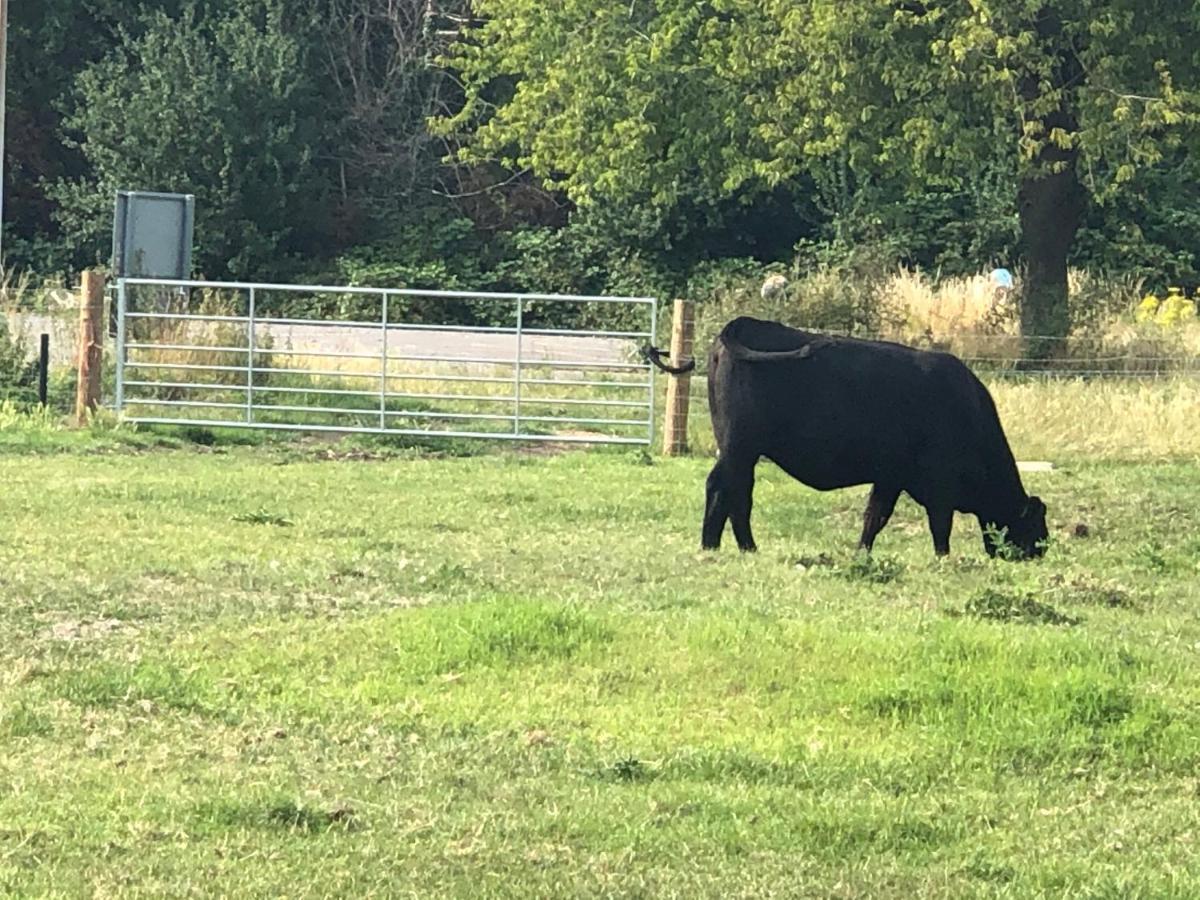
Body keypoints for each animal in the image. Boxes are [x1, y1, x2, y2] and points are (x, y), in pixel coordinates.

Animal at [643, 316, 1046, 556]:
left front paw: (861, 553)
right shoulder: (940, 482)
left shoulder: (890, 477)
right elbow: (939, 525)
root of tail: (739, 325)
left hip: (739, 448)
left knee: (733, 491)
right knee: (726, 490)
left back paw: (736, 547)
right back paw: (722, 546)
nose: (1040, 551)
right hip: (740, 446)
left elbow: (875, 517)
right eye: (1035, 525)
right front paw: (943, 558)